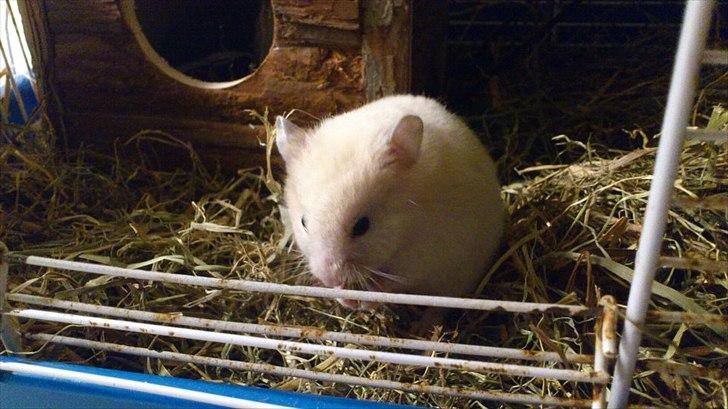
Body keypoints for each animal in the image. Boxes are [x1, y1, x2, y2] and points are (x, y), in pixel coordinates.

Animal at [275, 94, 506, 310]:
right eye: (303, 223)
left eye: (362, 226)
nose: (327, 277)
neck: (408, 226)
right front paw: (345, 297)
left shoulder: (422, 259)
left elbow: (390, 284)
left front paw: (363, 303)